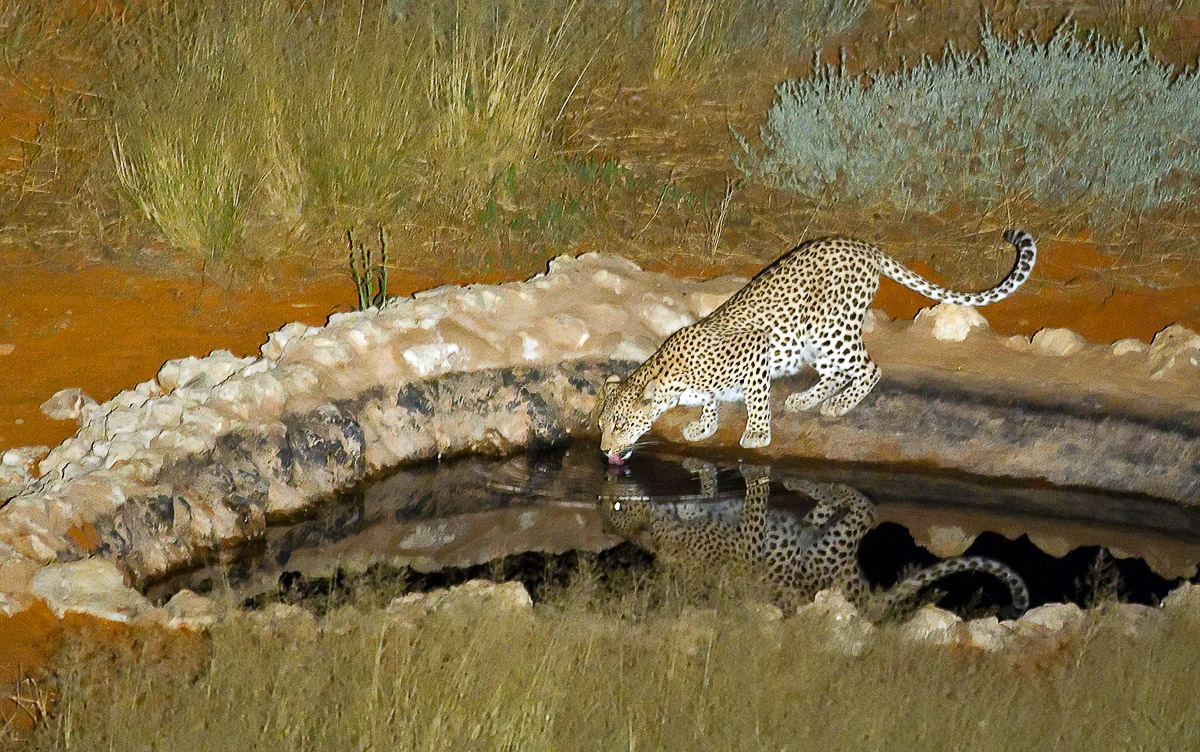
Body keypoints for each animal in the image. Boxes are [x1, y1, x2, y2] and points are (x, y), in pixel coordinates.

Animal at [598, 229, 1037, 463]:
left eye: (619, 424)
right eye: (602, 425)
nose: (604, 451)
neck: (673, 380)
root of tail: (859, 245)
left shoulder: (755, 349)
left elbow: (757, 398)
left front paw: (757, 433)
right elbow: (712, 400)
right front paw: (705, 424)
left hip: (832, 329)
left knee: (869, 368)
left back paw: (838, 405)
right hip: (813, 341)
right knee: (835, 373)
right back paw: (806, 399)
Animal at [598, 463, 1030, 620]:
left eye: (612, 504)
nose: (605, 492)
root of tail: (856, 588)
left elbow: (709, 488)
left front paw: (697, 463)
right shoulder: (745, 543)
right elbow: (754, 501)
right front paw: (752, 470)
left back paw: (809, 490)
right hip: (828, 549)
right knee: (863, 507)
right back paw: (812, 482)